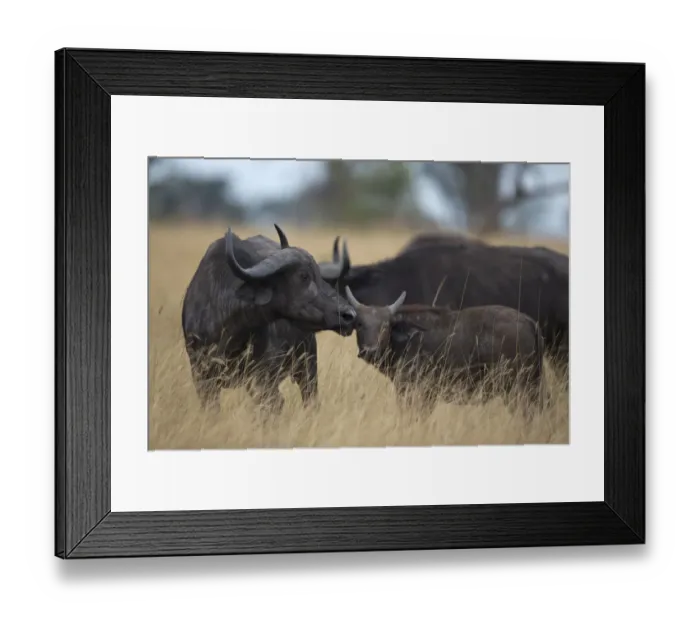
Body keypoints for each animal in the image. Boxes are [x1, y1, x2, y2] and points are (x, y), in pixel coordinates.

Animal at [181, 224, 357, 414]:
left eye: (319, 273)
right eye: (303, 276)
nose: (349, 315)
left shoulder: (264, 381)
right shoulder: (202, 379)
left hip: (307, 367)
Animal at [344, 286, 545, 415]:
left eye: (385, 326)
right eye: (360, 324)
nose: (370, 350)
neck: (407, 337)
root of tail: (529, 321)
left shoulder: (416, 391)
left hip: (517, 389)